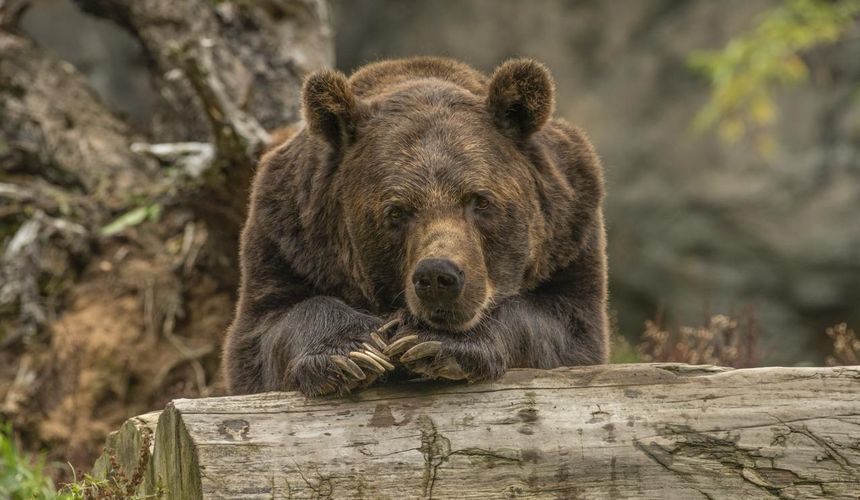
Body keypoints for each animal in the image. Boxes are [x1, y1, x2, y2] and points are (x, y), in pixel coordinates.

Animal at [223, 57, 608, 396]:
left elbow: (565, 328)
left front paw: (433, 341)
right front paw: (354, 351)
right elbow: (266, 330)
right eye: (396, 211)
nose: (438, 277)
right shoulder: (287, 238)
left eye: (480, 200)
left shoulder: (569, 234)